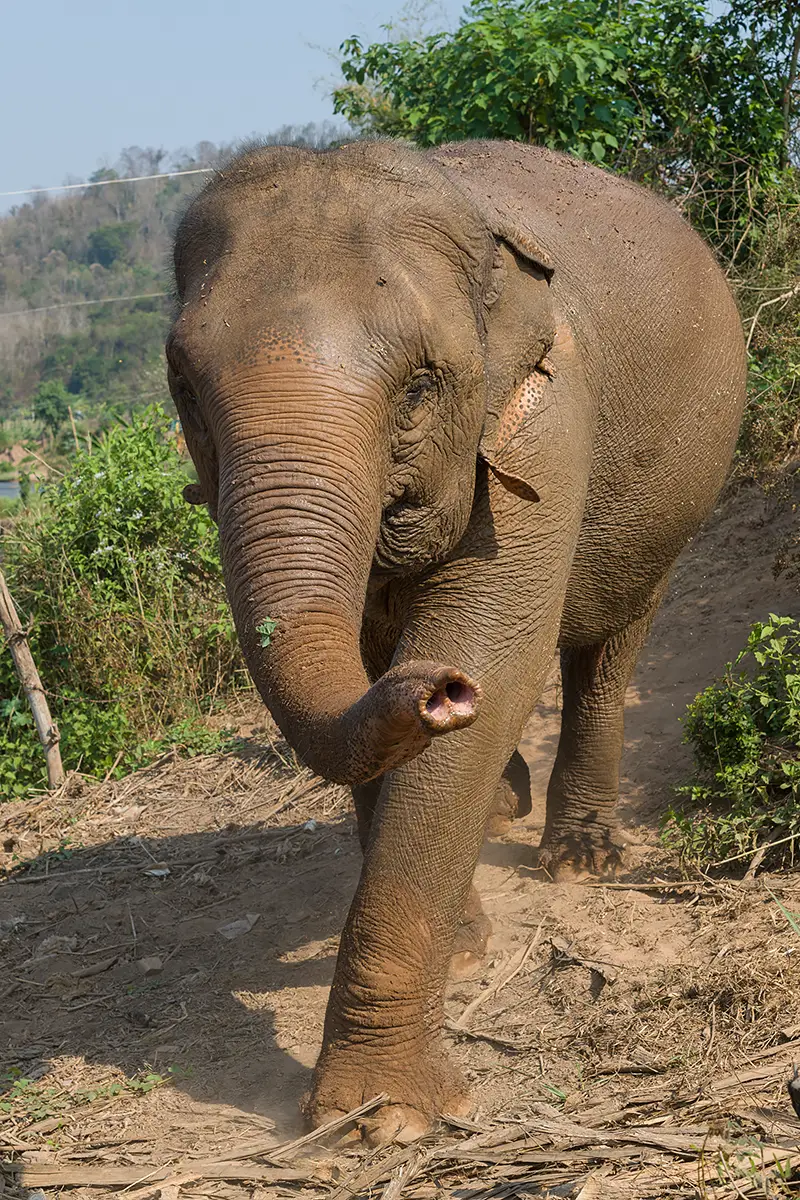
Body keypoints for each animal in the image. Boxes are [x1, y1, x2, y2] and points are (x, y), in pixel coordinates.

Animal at [166, 138, 746, 1144]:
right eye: (187, 393)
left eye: (419, 388)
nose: (441, 689)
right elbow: (373, 684)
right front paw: (463, 956)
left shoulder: (546, 427)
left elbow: (498, 655)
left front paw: (384, 1116)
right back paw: (507, 803)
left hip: (677, 500)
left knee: (611, 642)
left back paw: (581, 860)